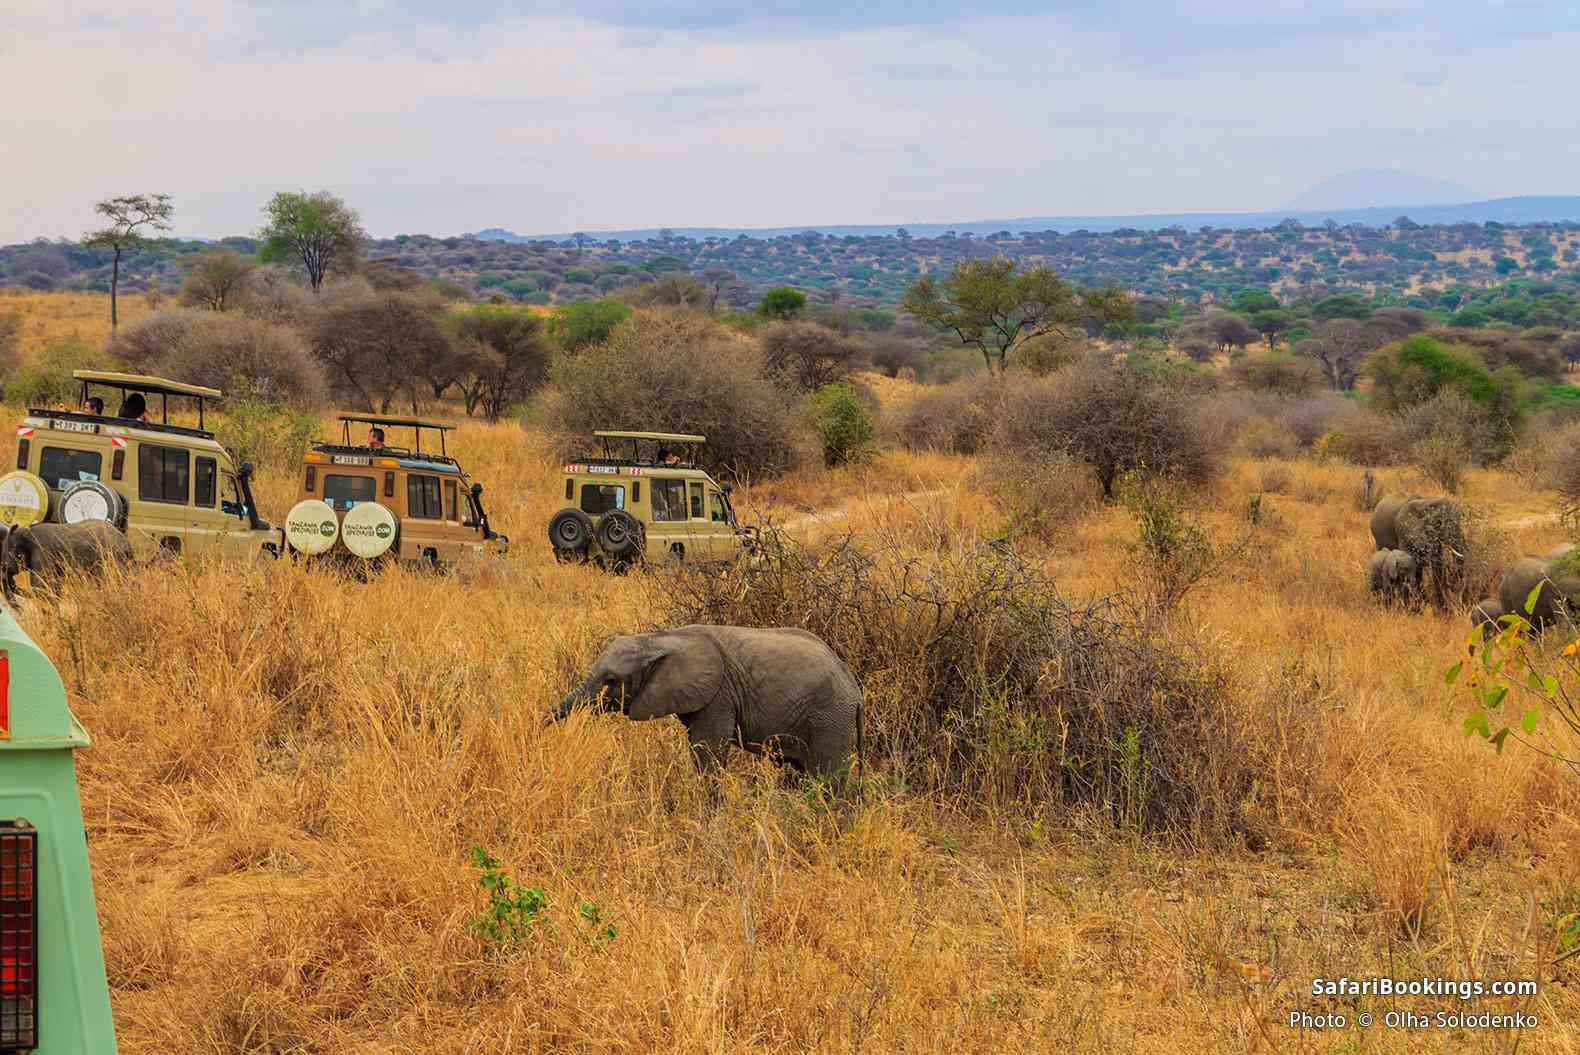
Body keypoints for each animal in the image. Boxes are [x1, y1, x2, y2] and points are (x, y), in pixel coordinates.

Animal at [2, 521, 135, 602]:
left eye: (15, 555)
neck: (24, 532)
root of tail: (127, 542)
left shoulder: (42, 553)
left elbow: (40, 585)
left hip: (112, 556)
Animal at [548, 625, 864, 782]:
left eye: (611, 679)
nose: (539, 728)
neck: (661, 638)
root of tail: (856, 690)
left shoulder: (719, 695)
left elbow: (707, 753)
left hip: (829, 718)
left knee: (829, 778)